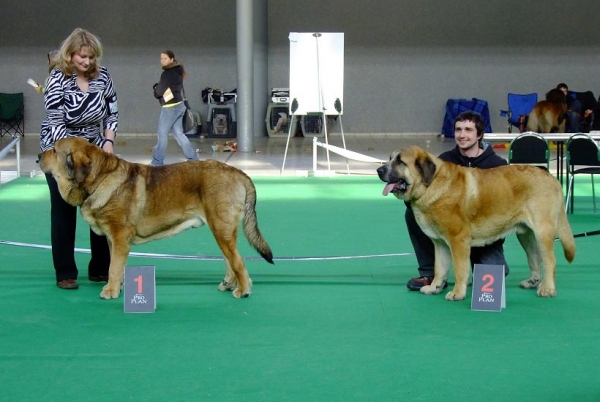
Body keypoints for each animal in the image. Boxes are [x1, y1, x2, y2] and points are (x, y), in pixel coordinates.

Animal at [37, 137, 272, 298]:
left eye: (55, 150)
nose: (39, 156)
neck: (99, 178)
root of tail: (237, 172)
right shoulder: (112, 240)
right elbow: (115, 265)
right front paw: (118, 287)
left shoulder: (120, 237)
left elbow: (114, 267)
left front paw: (110, 291)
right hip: (220, 229)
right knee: (230, 259)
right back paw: (229, 284)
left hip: (221, 229)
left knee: (237, 261)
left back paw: (243, 290)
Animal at [378, 146, 576, 300]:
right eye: (390, 159)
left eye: (400, 162)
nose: (379, 171)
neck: (431, 184)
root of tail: (551, 178)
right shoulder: (440, 243)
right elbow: (440, 268)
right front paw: (434, 287)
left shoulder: (458, 240)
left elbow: (460, 268)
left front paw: (457, 293)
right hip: (526, 235)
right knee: (534, 257)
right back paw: (533, 282)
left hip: (543, 231)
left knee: (550, 260)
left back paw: (547, 288)